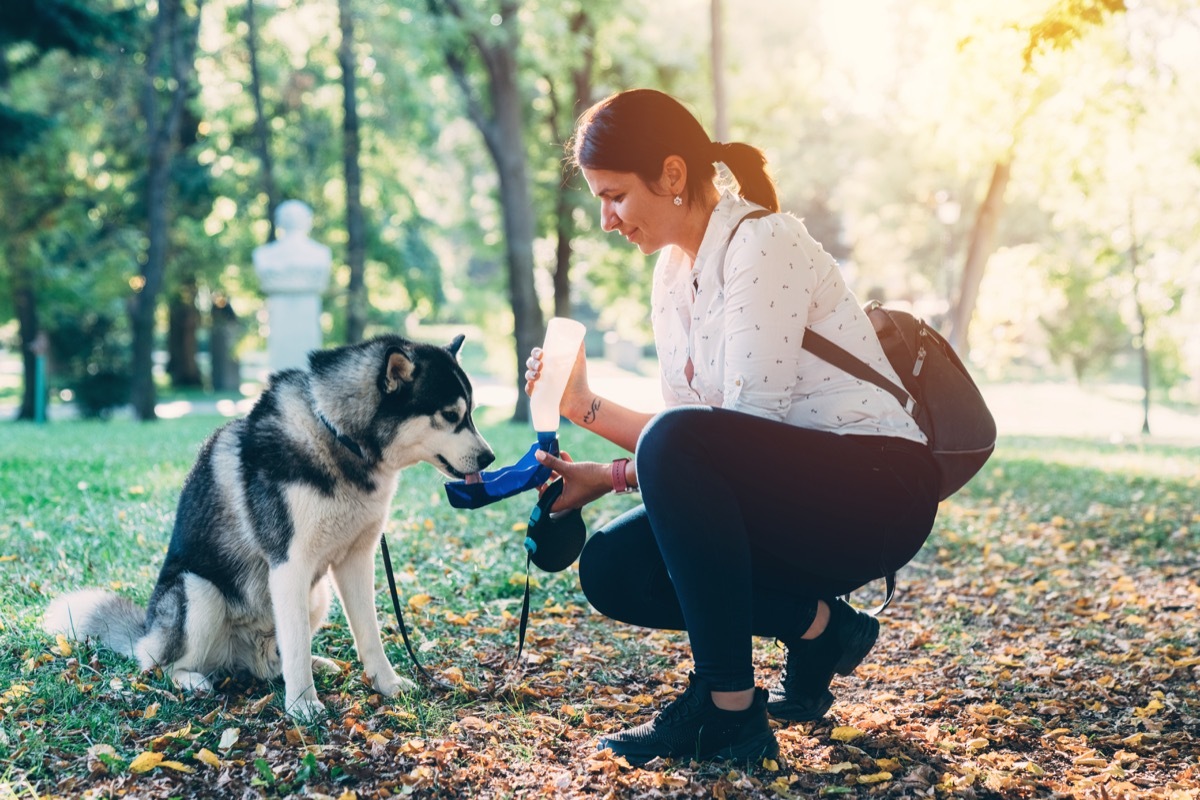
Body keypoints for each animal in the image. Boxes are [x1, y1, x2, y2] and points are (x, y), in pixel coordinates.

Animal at [42, 335, 492, 724]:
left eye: (470, 412)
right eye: (450, 416)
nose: (488, 457)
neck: (339, 437)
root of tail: (146, 632)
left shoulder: (355, 561)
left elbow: (368, 634)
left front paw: (387, 684)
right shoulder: (289, 565)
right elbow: (296, 644)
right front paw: (302, 706)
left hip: (318, 594)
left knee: (275, 660)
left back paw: (312, 663)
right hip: (198, 591)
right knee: (162, 665)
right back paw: (192, 680)